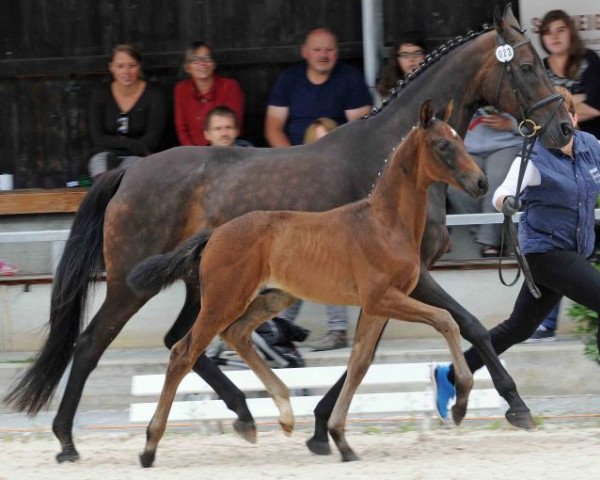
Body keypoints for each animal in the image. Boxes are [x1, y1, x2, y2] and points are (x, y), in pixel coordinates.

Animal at [131, 99, 488, 466]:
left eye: (460, 138)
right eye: (443, 145)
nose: (481, 183)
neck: (384, 223)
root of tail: (214, 234)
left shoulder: (377, 306)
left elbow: (359, 363)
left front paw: (339, 439)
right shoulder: (382, 298)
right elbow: (446, 320)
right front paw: (460, 401)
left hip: (274, 297)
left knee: (237, 334)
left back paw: (283, 414)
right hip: (222, 301)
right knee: (183, 352)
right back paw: (149, 446)